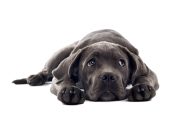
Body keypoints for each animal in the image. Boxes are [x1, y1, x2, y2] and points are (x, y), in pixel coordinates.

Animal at [12, 29, 159, 104]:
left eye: (121, 63)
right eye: (91, 63)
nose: (108, 76)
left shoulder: (148, 72)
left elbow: (144, 77)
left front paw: (141, 88)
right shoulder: (59, 76)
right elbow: (63, 80)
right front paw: (70, 91)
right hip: (61, 54)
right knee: (46, 70)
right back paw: (35, 77)